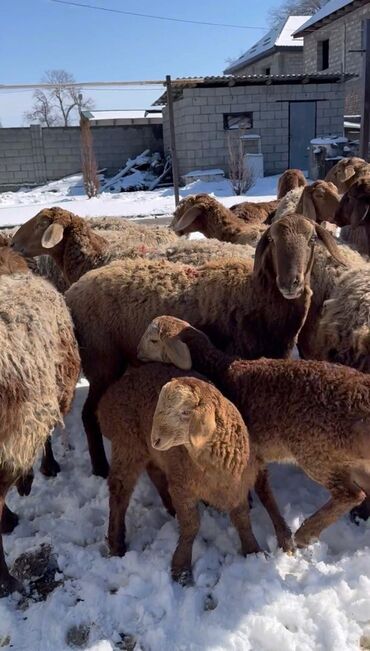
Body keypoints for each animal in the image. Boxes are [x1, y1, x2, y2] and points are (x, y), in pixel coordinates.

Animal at [64, 216, 344, 476]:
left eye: (312, 240)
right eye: (272, 240)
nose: (290, 283)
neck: (258, 295)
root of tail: (72, 292)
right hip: (102, 362)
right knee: (88, 415)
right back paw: (100, 467)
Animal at [97, 366, 262, 584]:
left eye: (185, 412)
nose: (156, 439)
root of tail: (109, 395)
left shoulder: (237, 488)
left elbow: (243, 520)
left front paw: (254, 552)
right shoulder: (183, 488)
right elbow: (191, 526)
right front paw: (181, 569)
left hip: (149, 452)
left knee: (154, 472)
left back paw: (169, 507)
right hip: (127, 442)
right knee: (119, 492)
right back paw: (116, 544)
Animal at [137, 316, 370, 552]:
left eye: (153, 339)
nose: (137, 354)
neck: (218, 369)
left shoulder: (252, 453)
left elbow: (260, 490)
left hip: (316, 452)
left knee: (350, 494)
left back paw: (305, 534)